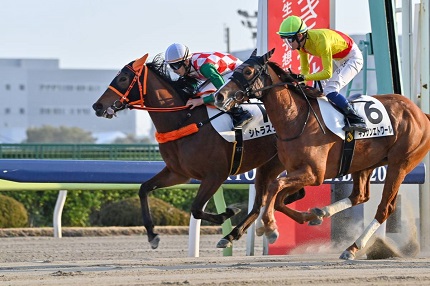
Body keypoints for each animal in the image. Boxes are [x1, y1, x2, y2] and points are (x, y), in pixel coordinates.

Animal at [92, 53, 304, 250]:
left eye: (123, 78)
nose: (97, 106)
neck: (184, 120)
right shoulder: (178, 173)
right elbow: (144, 189)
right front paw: (152, 235)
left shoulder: (216, 175)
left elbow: (195, 209)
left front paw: (229, 212)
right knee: (276, 199)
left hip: (278, 163)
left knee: (268, 200)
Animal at [215, 49, 430, 260]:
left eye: (248, 71)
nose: (219, 96)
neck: (296, 118)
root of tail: (421, 114)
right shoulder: (296, 171)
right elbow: (279, 199)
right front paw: (310, 216)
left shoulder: (314, 174)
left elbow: (275, 187)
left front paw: (268, 226)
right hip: (365, 164)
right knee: (359, 196)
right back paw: (325, 213)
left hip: (399, 165)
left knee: (385, 208)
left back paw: (352, 247)